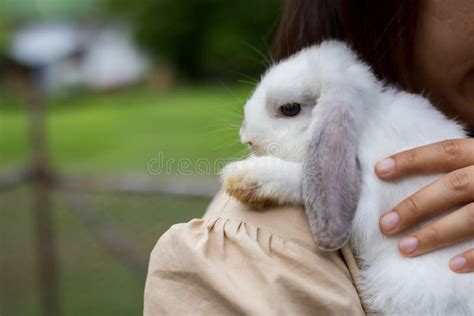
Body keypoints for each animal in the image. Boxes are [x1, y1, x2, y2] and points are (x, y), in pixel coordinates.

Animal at [222, 40, 474, 314]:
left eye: (290, 109)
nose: (247, 138)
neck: (367, 124)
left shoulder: (372, 202)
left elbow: (302, 178)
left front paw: (246, 175)